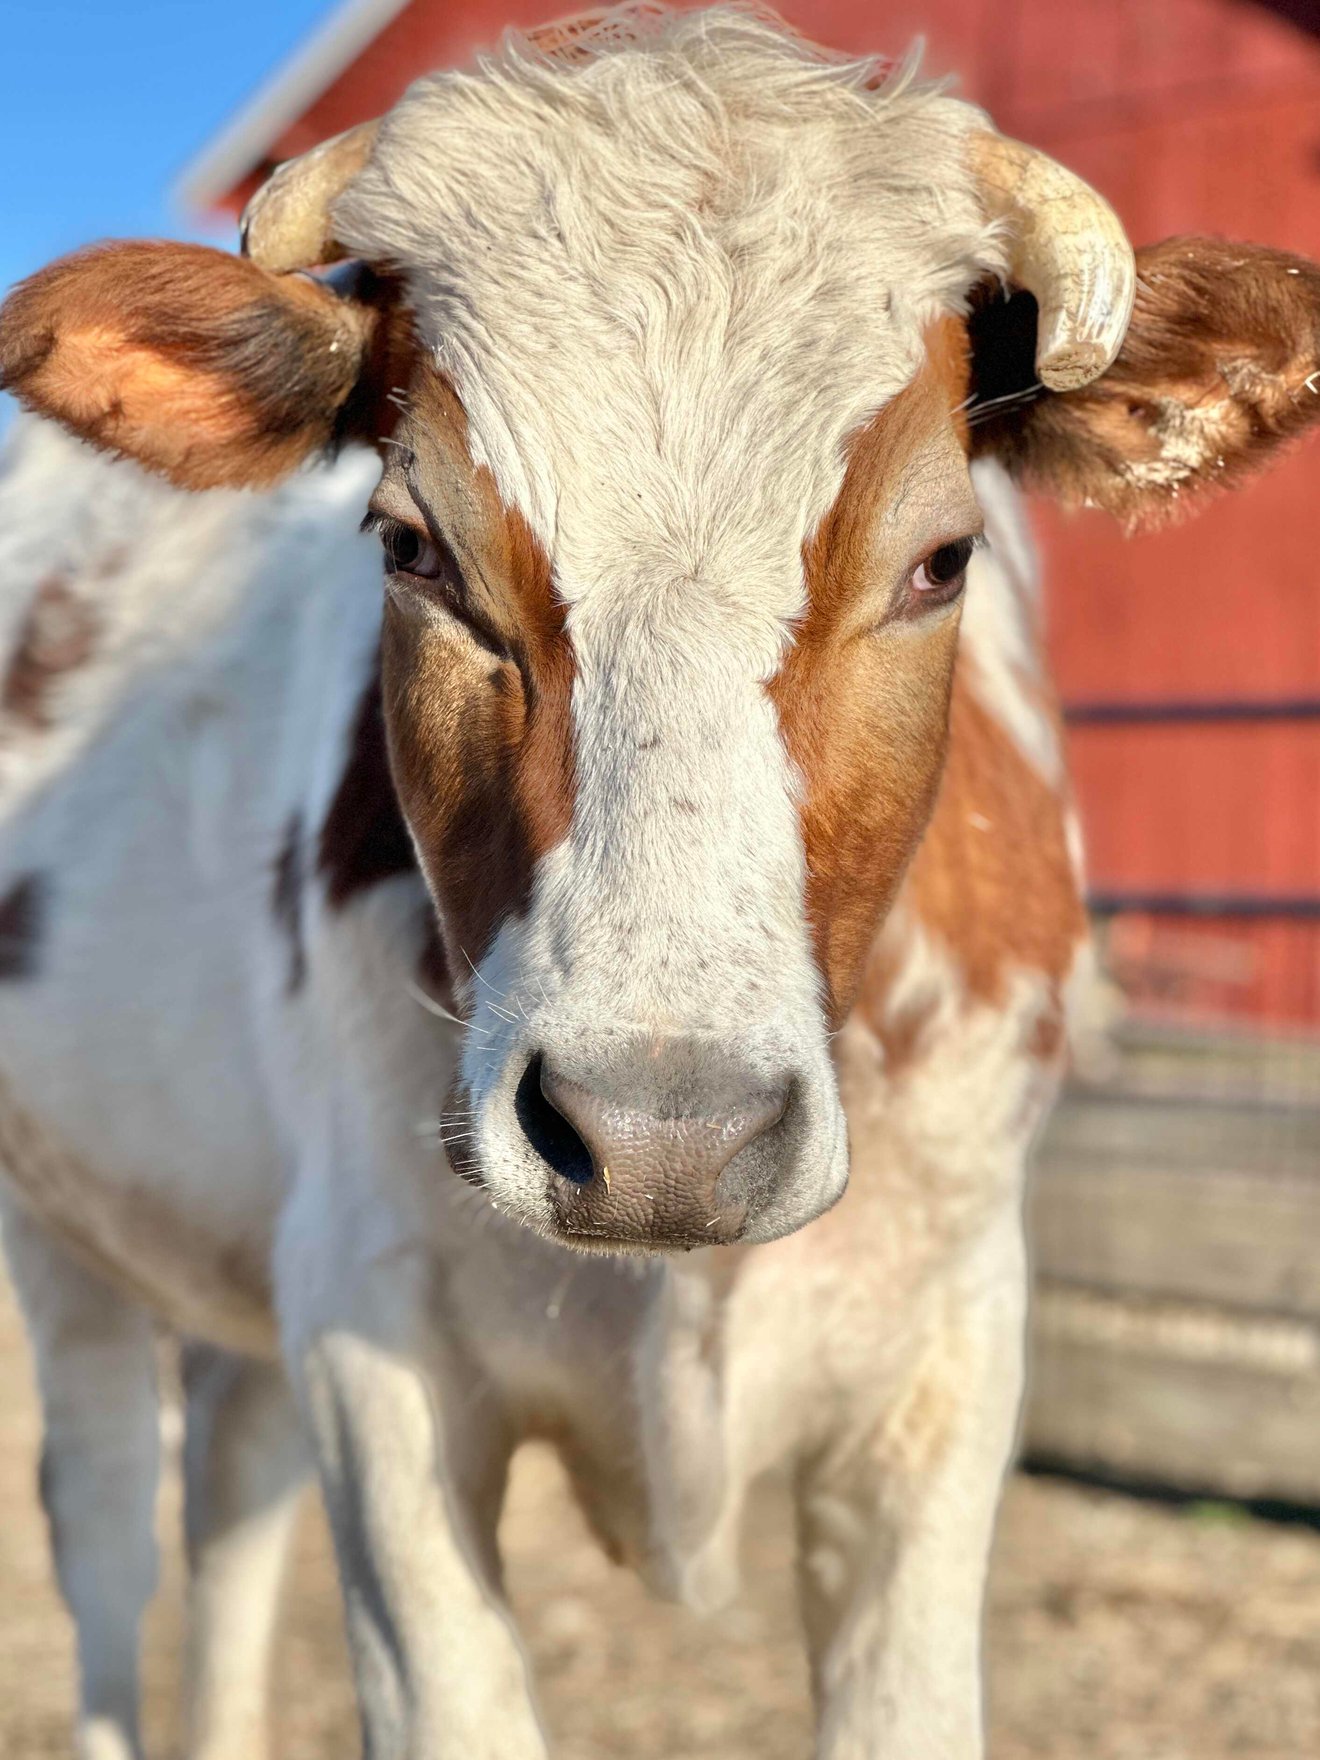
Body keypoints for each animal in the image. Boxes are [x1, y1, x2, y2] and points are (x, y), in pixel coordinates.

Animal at [2, 7, 1319, 1758]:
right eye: (410, 544)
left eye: (943, 559)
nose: (658, 1139)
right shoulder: (378, 1337)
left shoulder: (946, 1353)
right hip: (62, 1221)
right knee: (103, 1514)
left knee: (230, 1486)